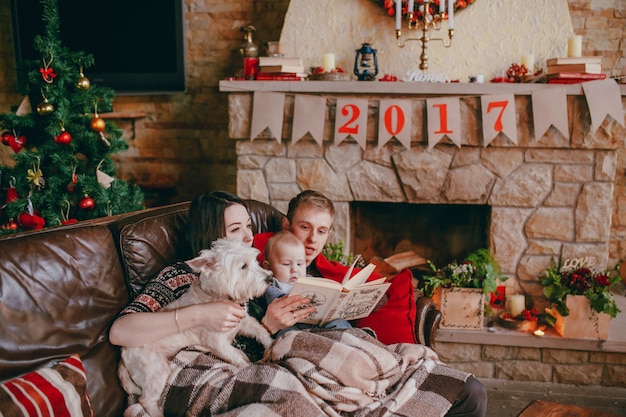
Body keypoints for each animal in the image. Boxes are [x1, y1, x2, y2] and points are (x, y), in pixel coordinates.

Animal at [118, 237, 272, 416]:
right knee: (146, 400)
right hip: (156, 370)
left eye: (255, 260)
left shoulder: (244, 323)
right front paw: (246, 366)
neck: (220, 296)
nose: (270, 278)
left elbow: (260, 331)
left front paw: (273, 345)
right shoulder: (217, 343)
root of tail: (123, 354)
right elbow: (238, 358)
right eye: (243, 266)